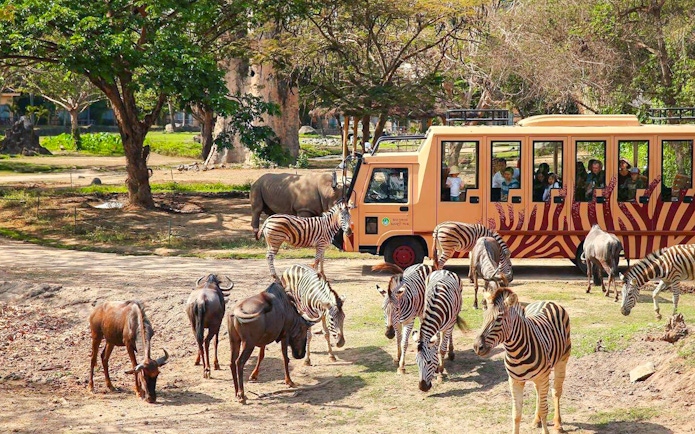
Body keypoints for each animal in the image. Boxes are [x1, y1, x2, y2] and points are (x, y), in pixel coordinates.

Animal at [473, 288, 571, 434]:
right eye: (484, 317)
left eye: (499, 319)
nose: (476, 347)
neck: (515, 352)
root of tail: (547, 301)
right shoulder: (514, 381)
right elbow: (516, 414)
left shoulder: (543, 377)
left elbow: (544, 410)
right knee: (538, 393)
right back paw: (536, 420)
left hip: (562, 360)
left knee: (556, 392)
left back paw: (558, 424)